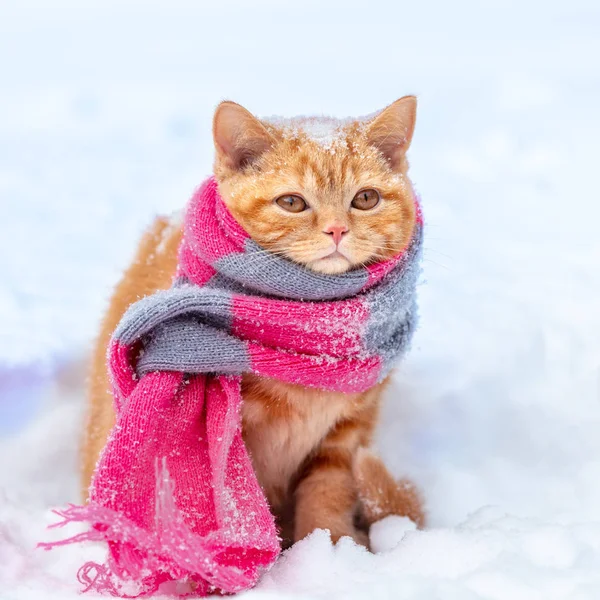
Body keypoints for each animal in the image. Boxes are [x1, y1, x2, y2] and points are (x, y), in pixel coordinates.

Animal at [82, 97, 424, 548]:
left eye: (366, 198)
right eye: (292, 202)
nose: (337, 229)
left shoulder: (346, 434)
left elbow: (328, 493)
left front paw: (328, 549)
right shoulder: (236, 440)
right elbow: (243, 502)